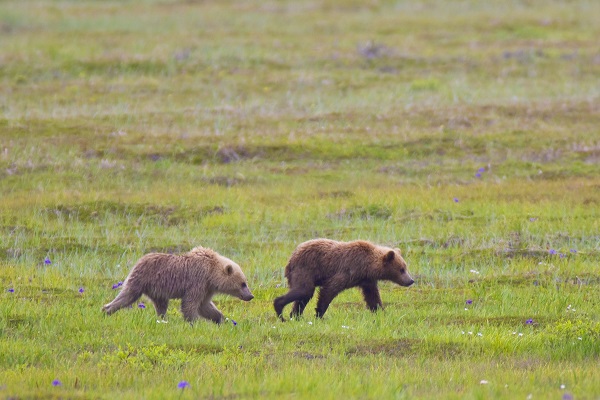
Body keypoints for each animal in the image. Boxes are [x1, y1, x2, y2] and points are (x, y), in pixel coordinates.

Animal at [103, 245, 253, 324]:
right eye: (243, 284)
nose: (250, 296)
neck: (211, 273)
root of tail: (139, 260)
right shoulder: (197, 281)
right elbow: (190, 303)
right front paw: (194, 322)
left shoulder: (207, 288)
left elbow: (205, 306)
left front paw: (224, 319)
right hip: (142, 279)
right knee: (127, 296)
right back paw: (107, 310)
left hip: (157, 290)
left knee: (160, 305)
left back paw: (163, 320)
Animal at [274, 239, 414, 320]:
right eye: (401, 269)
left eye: (405, 267)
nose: (411, 280)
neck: (367, 266)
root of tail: (291, 257)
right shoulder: (347, 270)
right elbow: (330, 289)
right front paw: (319, 314)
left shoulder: (367, 280)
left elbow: (372, 297)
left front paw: (381, 312)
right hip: (305, 269)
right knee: (304, 290)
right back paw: (280, 310)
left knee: (304, 296)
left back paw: (295, 315)